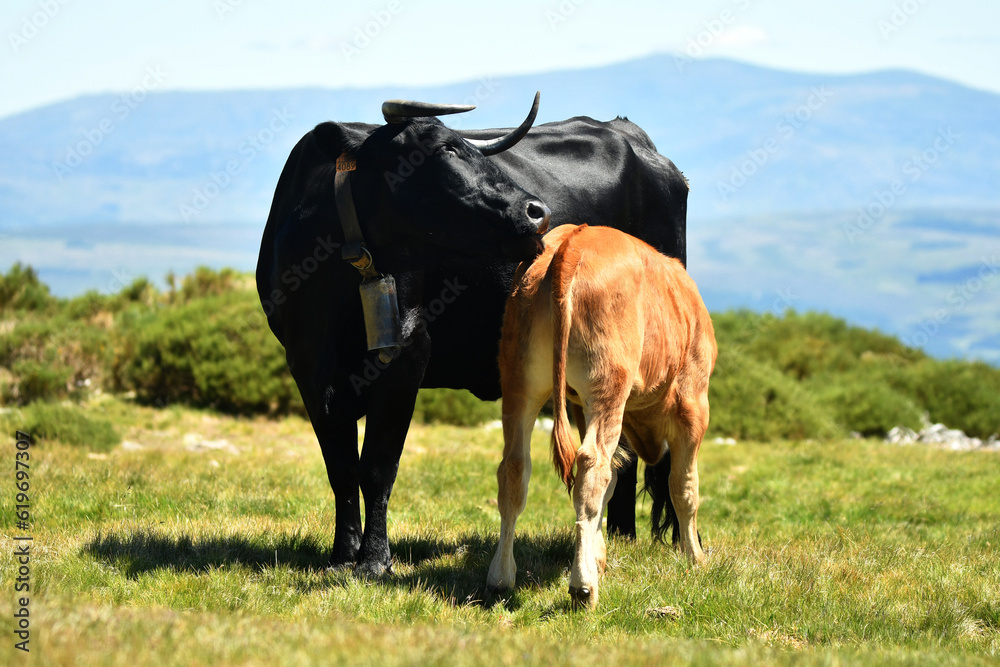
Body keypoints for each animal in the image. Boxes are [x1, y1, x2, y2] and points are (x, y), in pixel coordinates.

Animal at [258, 94, 688, 580]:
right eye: (443, 149)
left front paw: (373, 560)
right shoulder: (309, 368)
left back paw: (642, 542)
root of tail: (629, 133)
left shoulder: (408, 356)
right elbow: (342, 470)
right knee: (620, 454)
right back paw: (614, 538)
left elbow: (377, 468)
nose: (537, 212)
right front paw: (341, 557)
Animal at [486, 224, 716, 612]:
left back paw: (501, 577)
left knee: (515, 469)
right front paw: (695, 558)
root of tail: (575, 240)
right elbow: (684, 487)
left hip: (520, 379)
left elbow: (612, 485)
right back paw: (583, 588)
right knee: (592, 466)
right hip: (608, 385)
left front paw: (598, 555)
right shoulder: (693, 401)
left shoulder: (581, 406)